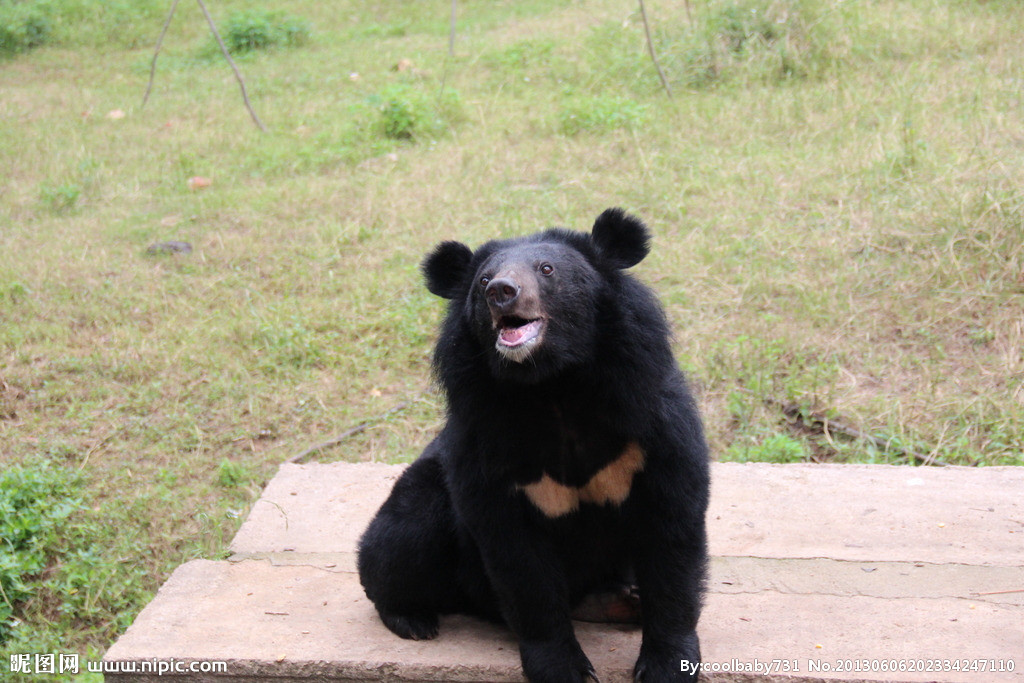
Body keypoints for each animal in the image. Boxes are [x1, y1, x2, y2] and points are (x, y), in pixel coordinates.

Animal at [362, 209, 712, 683]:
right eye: (483, 280)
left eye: (546, 269)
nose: (501, 292)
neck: (552, 386)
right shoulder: (484, 442)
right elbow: (521, 563)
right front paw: (562, 668)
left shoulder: (653, 422)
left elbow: (671, 532)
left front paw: (667, 665)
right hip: (426, 497)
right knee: (400, 536)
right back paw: (411, 618)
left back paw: (623, 602)